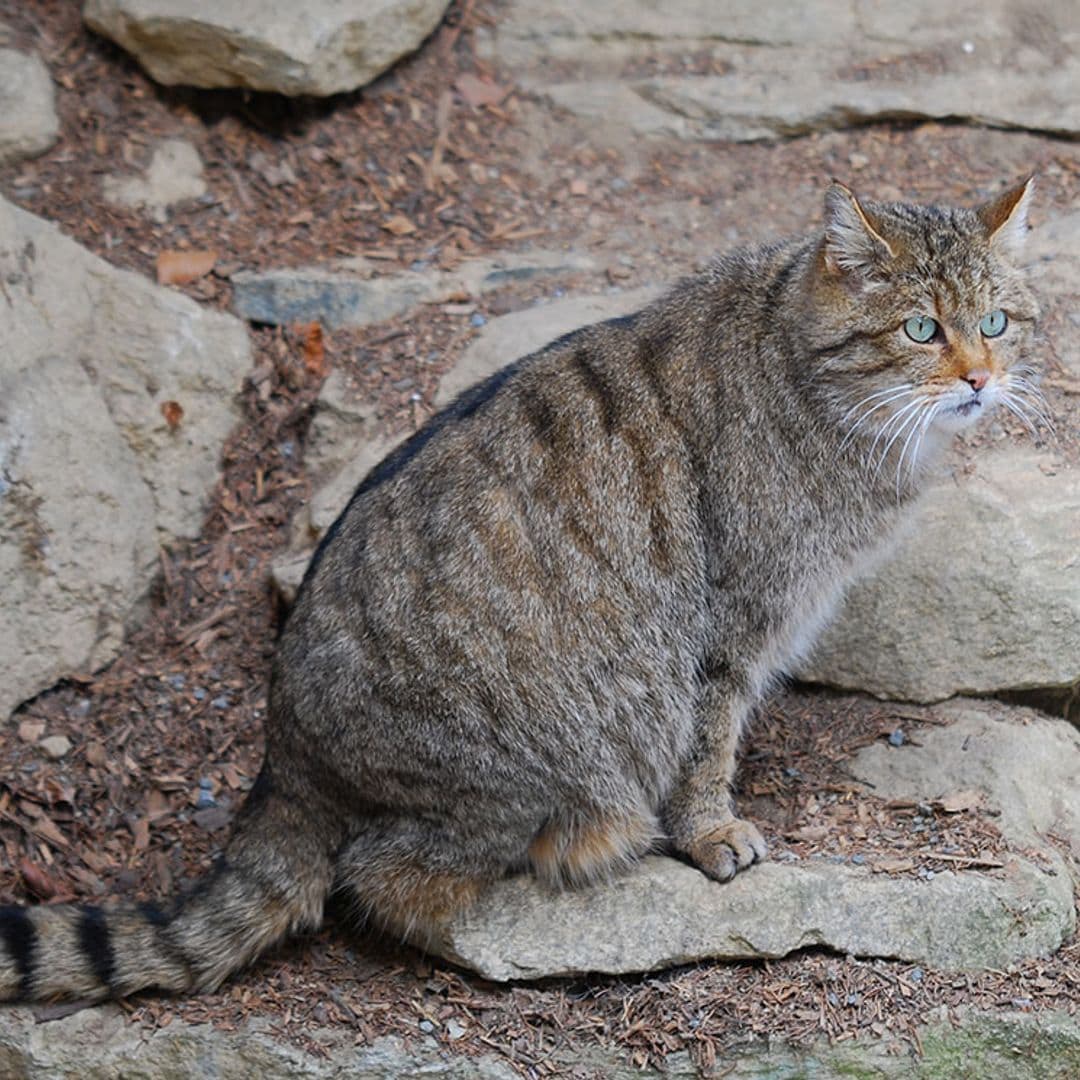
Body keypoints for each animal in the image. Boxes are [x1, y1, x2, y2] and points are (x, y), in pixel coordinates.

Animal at [2, 179, 1045, 1002]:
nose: (981, 380)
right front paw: (711, 831)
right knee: (377, 879)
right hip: (522, 771)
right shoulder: (728, 624)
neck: (811, 377)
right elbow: (706, 743)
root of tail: (283, 757)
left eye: (995, 323)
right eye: (921, 328)